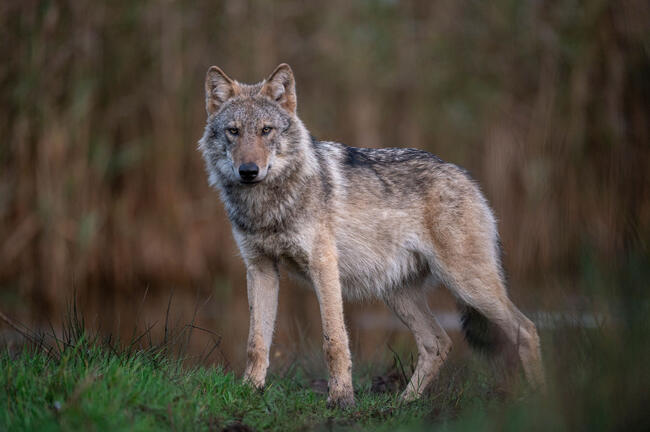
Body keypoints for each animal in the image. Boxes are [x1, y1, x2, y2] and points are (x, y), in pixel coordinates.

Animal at [196, 62, 540, 406]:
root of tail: (464, 175)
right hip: (398, 294)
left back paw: (539, 399)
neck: (267, 206)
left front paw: (341, 399)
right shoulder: (260, 268)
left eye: (266, 130)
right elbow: (256, 342)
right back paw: (403, 403)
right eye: (234, 131)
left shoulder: (323, 266)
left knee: (526, 329)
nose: (248, 171)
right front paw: (249, 391)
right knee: (438, 343)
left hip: (468, 285)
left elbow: (334, 341)